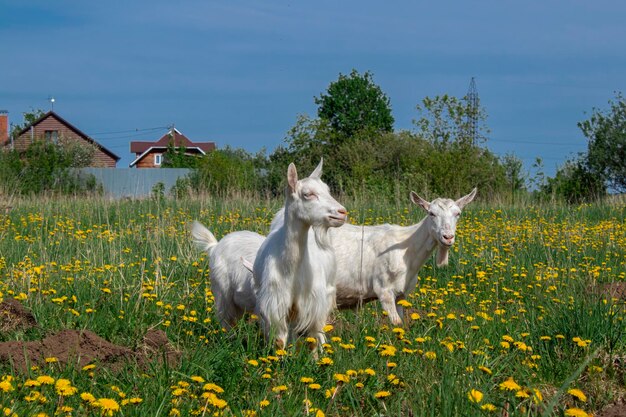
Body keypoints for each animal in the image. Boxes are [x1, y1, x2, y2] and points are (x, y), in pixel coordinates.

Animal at [252, 158, 346, 348]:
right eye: (307, 194)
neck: (291, 267)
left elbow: (315, 337)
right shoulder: (276, 302)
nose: (342, 212)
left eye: (327, 190)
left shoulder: (314, 302)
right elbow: (279, 339)